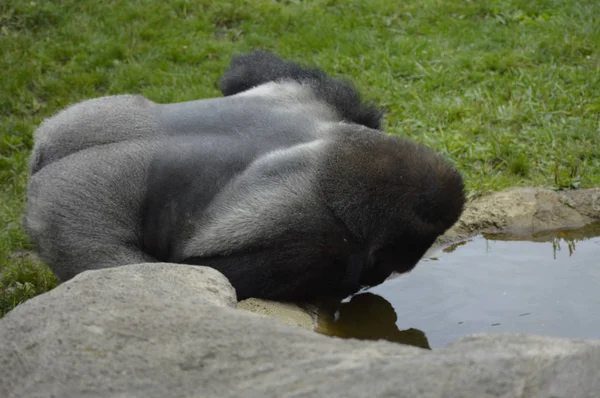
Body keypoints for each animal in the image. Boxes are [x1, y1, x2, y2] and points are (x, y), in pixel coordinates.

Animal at [23, 52, 466, 302]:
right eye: (389, 259)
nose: (377, 278)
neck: (339, 154)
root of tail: (42, 162)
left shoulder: (326, 97)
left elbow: (246, 73)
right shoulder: (316, 241)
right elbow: (227, 278)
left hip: (85, 119)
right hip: (68, 216)